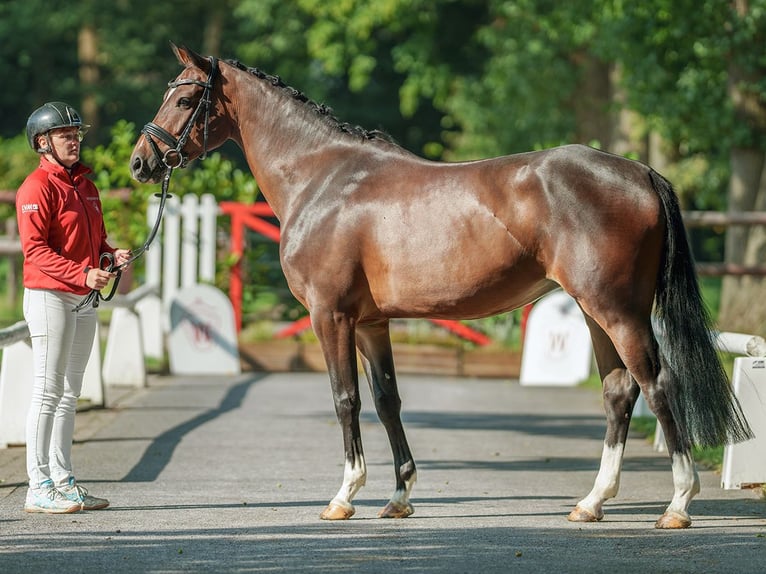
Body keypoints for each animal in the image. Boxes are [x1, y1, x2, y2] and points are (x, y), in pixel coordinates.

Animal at [129, 45, 752, 532]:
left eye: (183, 100)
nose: (141, 162)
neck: (323, 177)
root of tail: (639, 172)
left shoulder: (331, 316)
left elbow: (345, 398)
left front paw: (343, 496)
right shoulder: (371, 322)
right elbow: (387, 399)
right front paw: (399, 496)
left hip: (617, 310)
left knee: (657, 383)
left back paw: (677, 504)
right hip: (596, 310)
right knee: (620, 392)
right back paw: (592, 503)